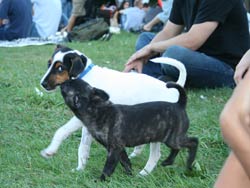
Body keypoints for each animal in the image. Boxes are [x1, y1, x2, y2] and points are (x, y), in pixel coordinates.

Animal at [40, 45, 187, 175]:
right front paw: (80, 169)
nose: (42, 84)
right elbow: (83, 147)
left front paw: (50, 151)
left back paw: (144, 173)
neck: (85, 76)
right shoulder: (88, 123)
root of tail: (175, 90)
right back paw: (135, 154)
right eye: (48, 64)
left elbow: (62, 131)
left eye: (60, 68)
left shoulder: (82, 116)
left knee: (156, 154)